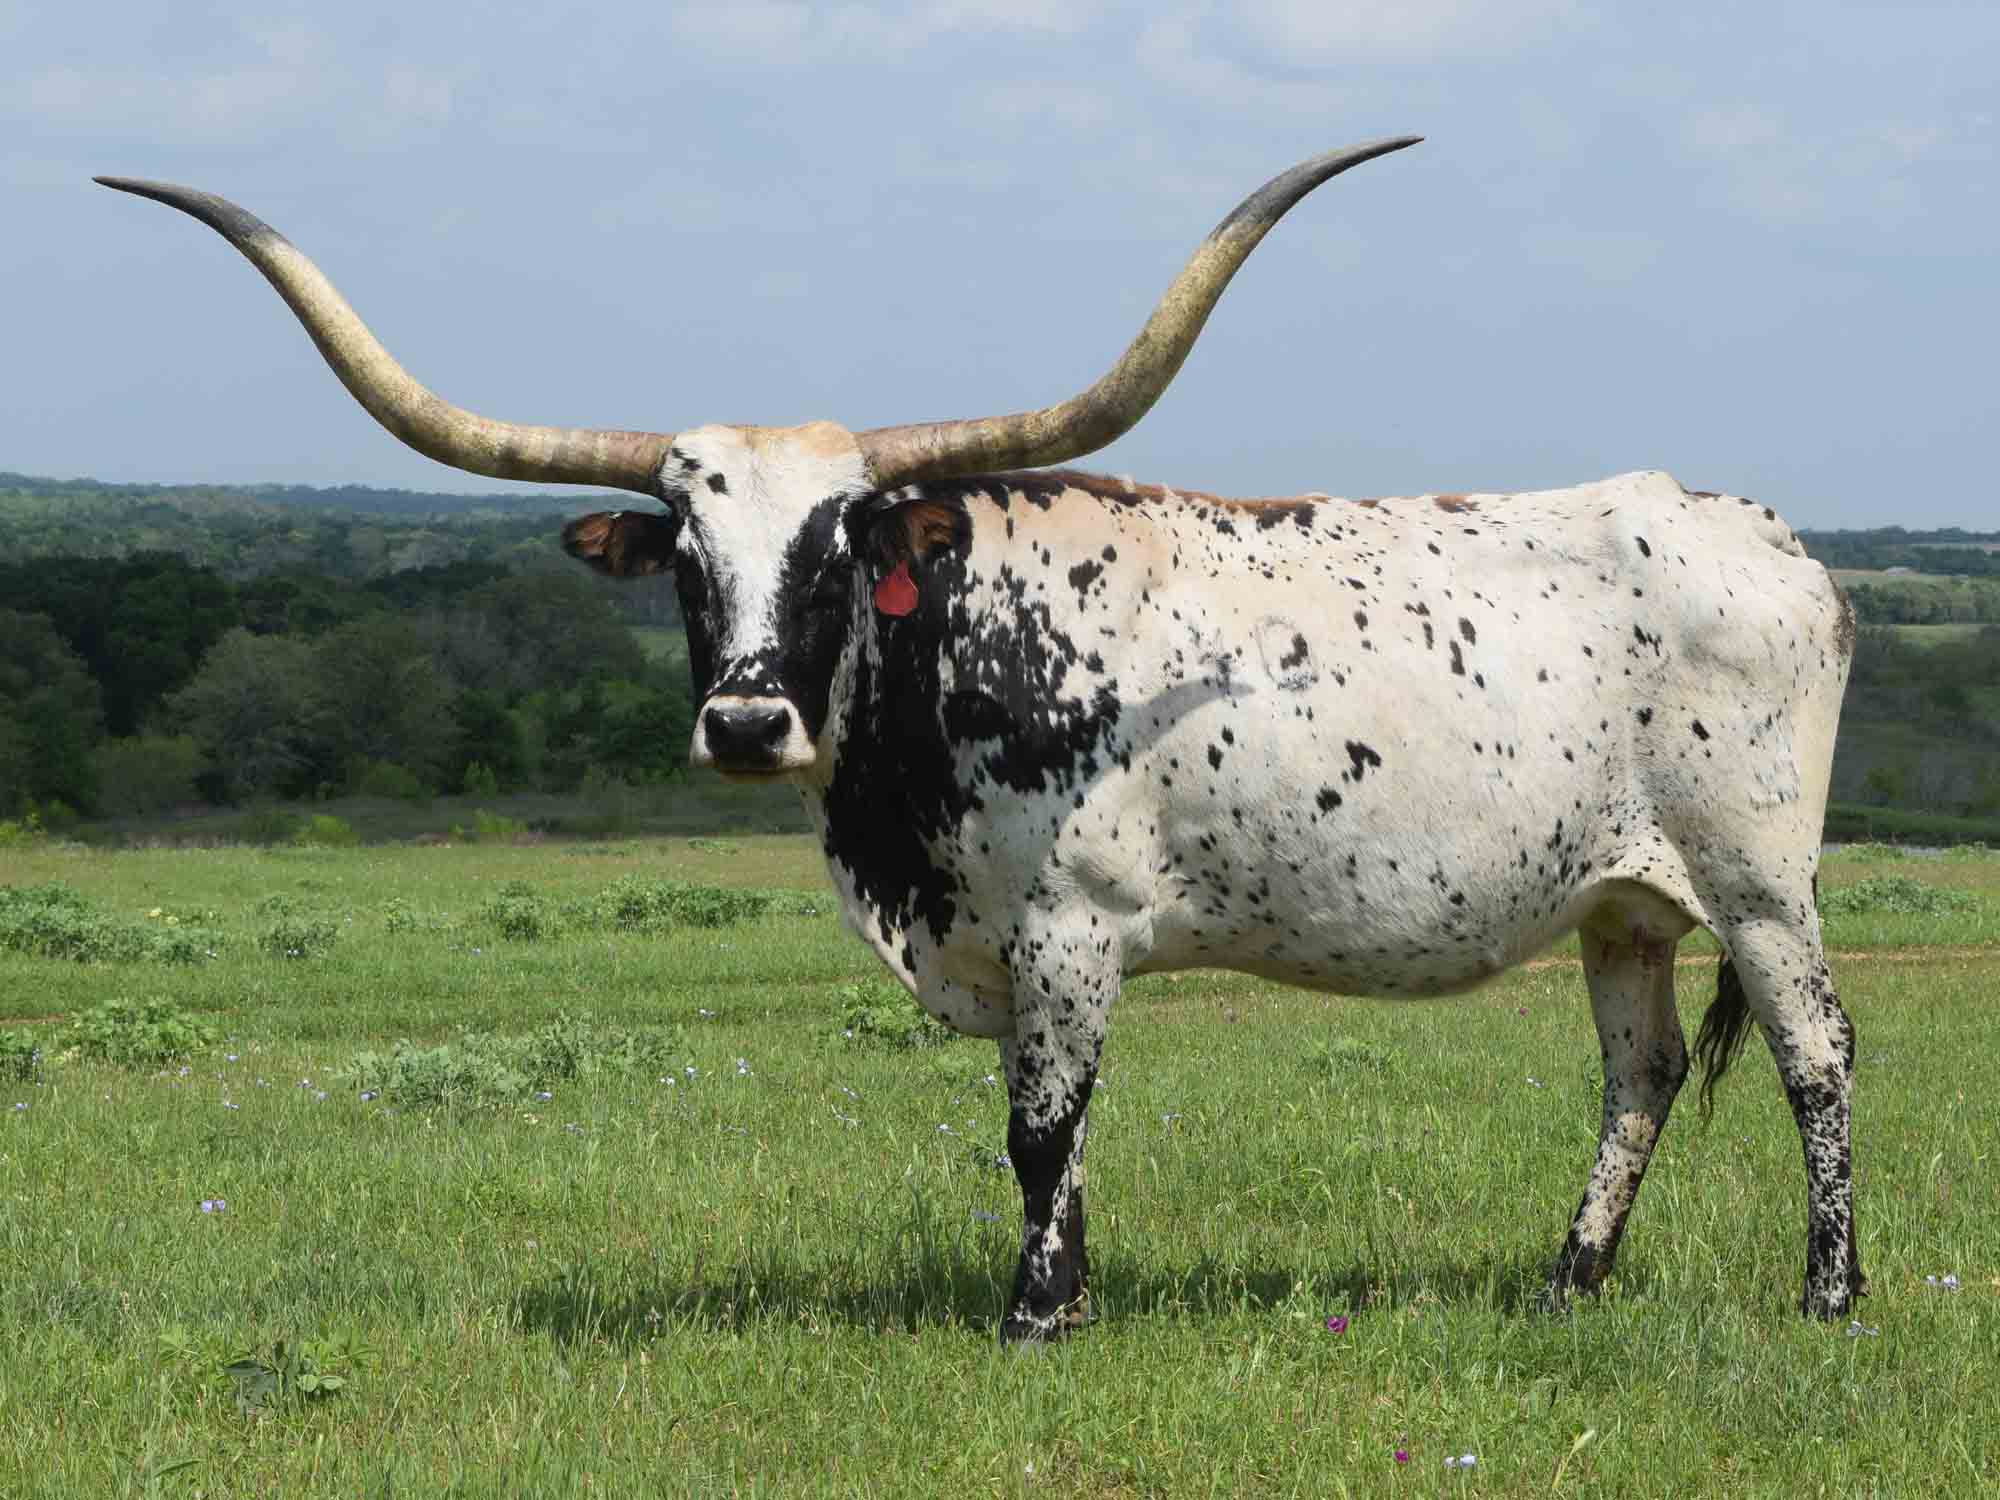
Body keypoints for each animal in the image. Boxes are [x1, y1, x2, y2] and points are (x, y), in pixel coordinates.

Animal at [105, 138, 1856, 1336]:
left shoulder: (1071, 927)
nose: (748, 719)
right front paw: (1068, 1295)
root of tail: (1767, 535)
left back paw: (1830, 1293)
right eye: (686, 556)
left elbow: (1038, 1128)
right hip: (1622, 899)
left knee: (1816, 1054)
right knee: (1637, 1073)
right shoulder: (1017, 950)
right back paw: (1571, 1280)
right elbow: (1054, 1139)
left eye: (838, 550)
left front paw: (1029, 1320)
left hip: (1759, 881)